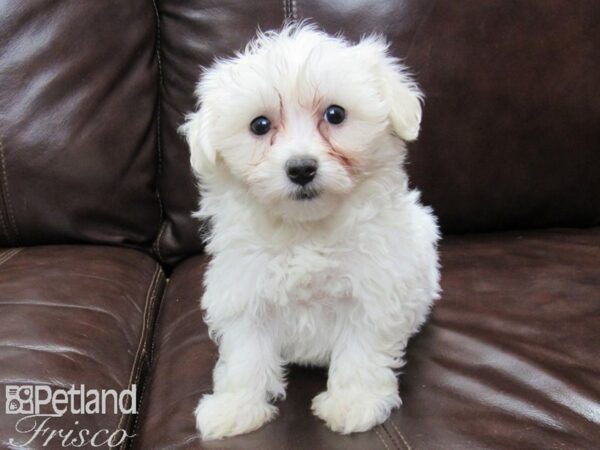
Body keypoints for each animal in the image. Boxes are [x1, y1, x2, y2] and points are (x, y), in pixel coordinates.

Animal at [183, 23, 440, 440]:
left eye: (335, 114)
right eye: (260, 125)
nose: (301, 168)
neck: (304, 230)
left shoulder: (373, 290)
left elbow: (360, 351)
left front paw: (353, 403)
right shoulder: (245, 289)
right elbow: (245, 355)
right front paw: (236, 407)